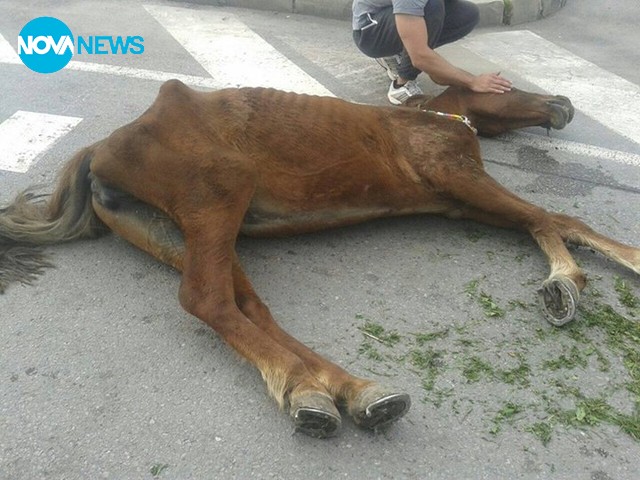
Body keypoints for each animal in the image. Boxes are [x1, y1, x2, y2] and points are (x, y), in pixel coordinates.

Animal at [0, 81, 636, 438]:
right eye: (503, 86)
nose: (562, 104)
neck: (429, 119)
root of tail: (100, 150)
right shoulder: (459, 179)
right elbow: (554, 220)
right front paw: (572, 281)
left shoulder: (457, 202)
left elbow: (548, 222)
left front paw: (581, 277)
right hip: (219, 193)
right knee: (206, 298)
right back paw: (321, 392)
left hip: (181, 229)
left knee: (245, 305)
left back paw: (343, 392)